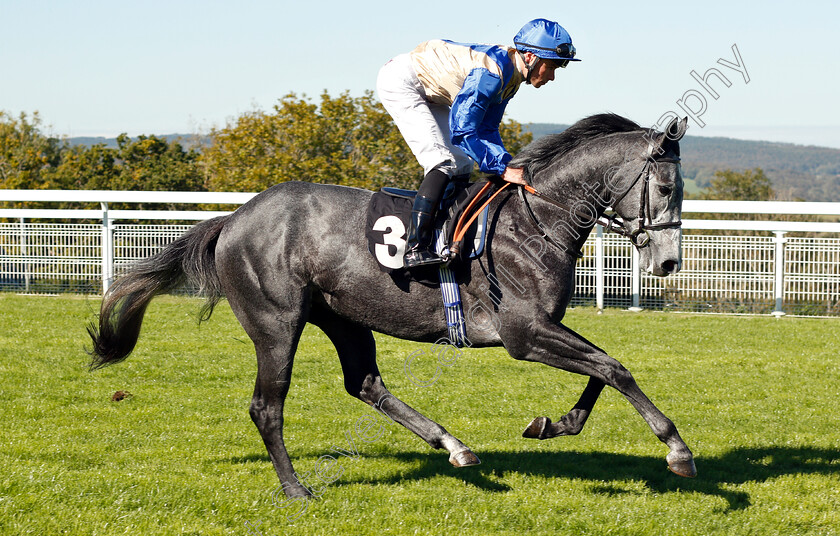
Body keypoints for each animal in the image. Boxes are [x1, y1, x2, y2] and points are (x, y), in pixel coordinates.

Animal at [88, 111, 700, 500]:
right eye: (669, 187)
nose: (669, 262)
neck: (535, 219)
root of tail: (234, 218)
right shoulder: (524, 334)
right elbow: (614, 368)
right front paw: (677, 449)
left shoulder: (543, 327)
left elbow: (606, 368)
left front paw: (554, 424)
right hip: (277, 322)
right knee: (267, 407)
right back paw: (296, 488)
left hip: (345, 318)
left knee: (365, 383)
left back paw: (454, 446)